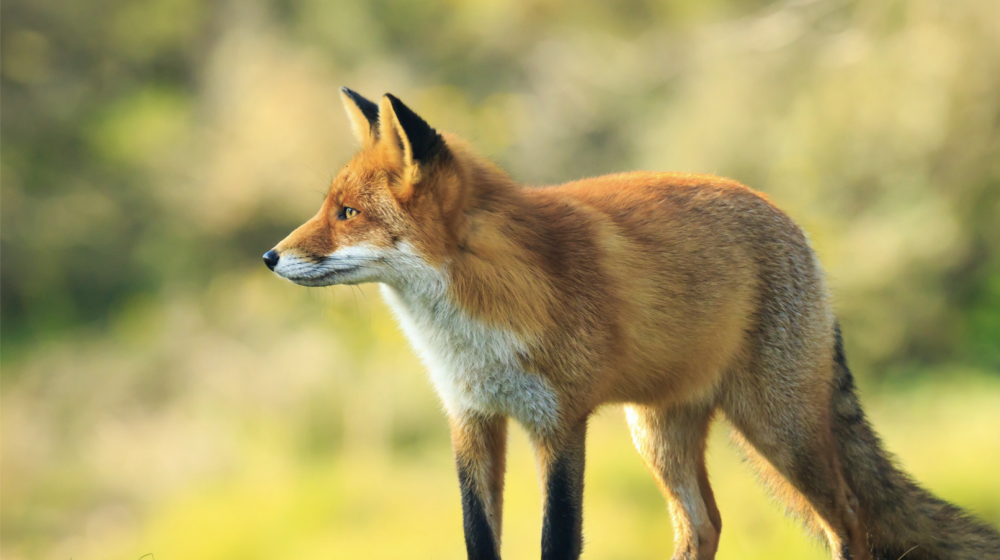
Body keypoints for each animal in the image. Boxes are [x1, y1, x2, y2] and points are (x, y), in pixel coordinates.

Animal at [266, 88, 1000, 560]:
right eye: (329, 208)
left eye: (348, 214)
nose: (269, 256)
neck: (473, 322)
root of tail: (792, 223)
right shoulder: (471, 421)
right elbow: (481, 542)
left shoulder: (559, 424)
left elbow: (559, 540)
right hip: (660, 435)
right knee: (704, 526)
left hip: (779, 431)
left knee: (846, 520)